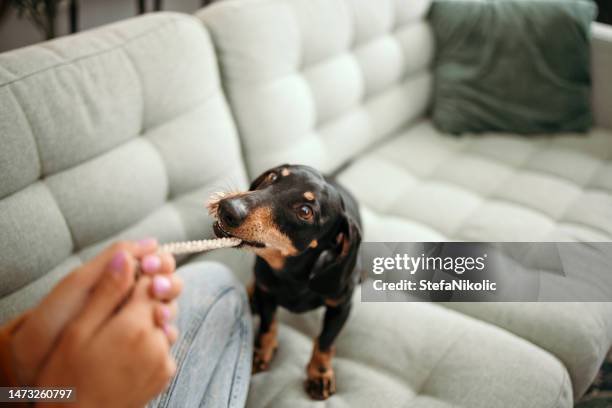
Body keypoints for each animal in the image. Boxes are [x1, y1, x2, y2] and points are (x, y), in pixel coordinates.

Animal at [208, 164, 360, 400]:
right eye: (273, 176)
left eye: (305, 211)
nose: (227, 208)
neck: (292, 275)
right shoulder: (267, 292)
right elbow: (267, 325)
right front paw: (261, 352)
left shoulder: (341, 306)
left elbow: (325, 341)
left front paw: (320, 374)